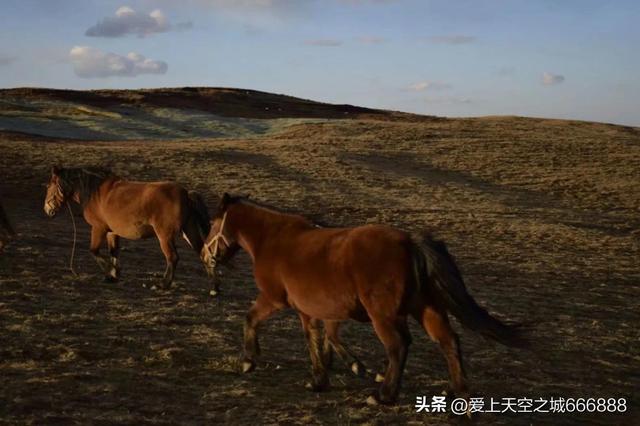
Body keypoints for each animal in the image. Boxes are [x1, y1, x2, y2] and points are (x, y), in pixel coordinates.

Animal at [45, 166, 215, 290]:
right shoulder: (112, 232)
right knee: (204, 253)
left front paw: (111, 272)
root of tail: (186, 194)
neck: (95, 193)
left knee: (173, 258)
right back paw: (214, 287)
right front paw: (113, 274)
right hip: (189, 231)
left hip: (165, 237)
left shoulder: (98, 228)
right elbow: (114, 252)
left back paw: (163, 284)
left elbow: (94, 251)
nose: (47, 209)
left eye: (50, 186)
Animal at [201, 195, 524, 404]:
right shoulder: (313, 310)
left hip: (385, 316)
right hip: (426, 308)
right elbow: (319, 339)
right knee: (448, 341)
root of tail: (410, 242)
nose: (206, 255)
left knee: (399, 346)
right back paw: (459, 394)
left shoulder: (274, 298)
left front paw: (248, 361)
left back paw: (384, 396)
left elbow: (252, 318)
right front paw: (322, 379)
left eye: (213, 223)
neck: (273, 239)